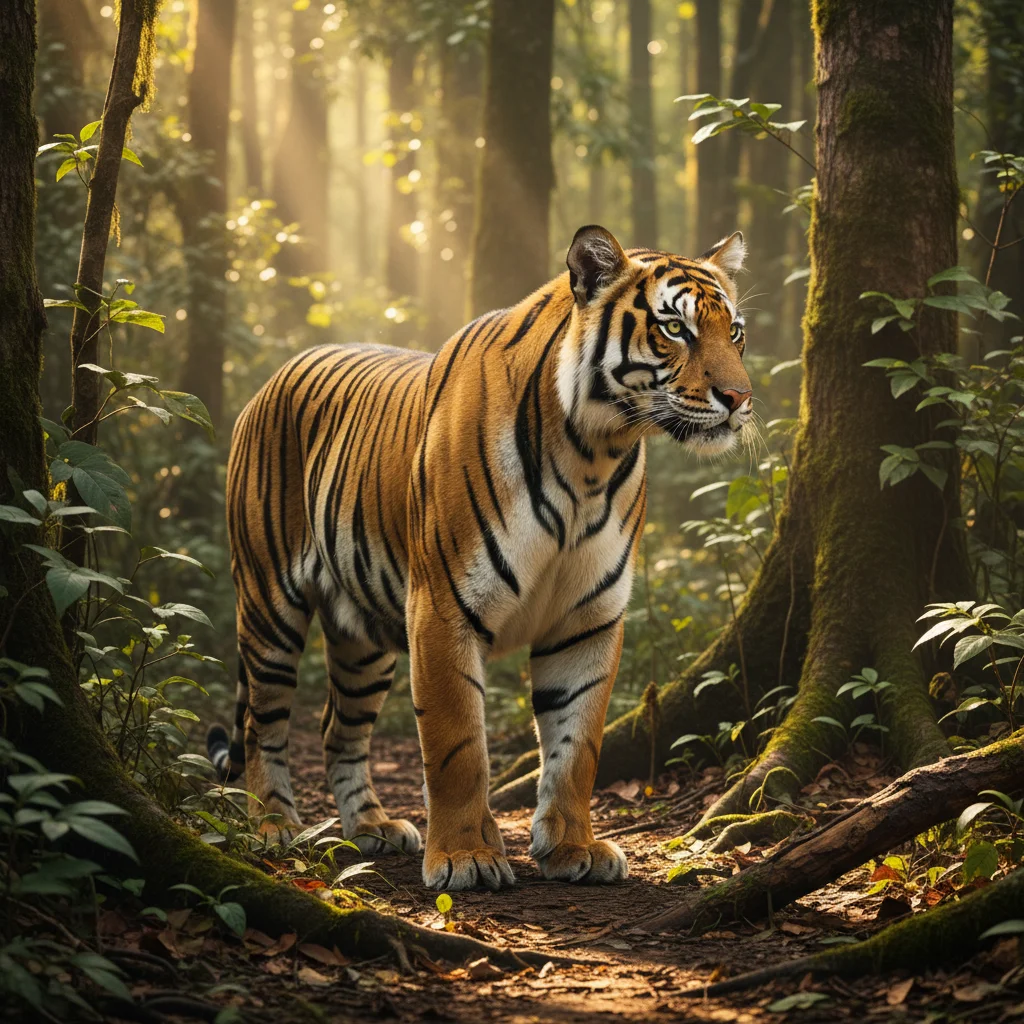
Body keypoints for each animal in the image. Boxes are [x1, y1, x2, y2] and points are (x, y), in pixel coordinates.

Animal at [206, 225, 753, 891]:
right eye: (674, 328)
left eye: (736, 331)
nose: (740, 397)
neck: (593, 453)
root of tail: (272, 377)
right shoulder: (443, 607)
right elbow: (457, 744)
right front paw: (466, 856)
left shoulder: (587, 618)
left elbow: (577, 745)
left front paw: (573, 847)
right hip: (269, 605)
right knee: (262, 723)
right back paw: (273, 826)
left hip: (362, 636)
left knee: (338, 727)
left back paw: (372, 827)